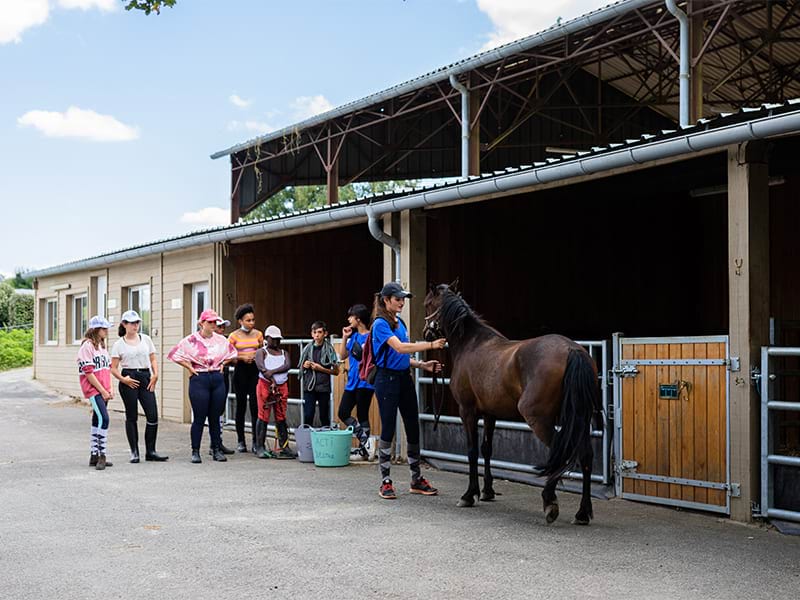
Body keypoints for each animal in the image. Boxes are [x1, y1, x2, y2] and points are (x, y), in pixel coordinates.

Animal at [424, 284, 600, 524]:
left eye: (427, 304)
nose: (426, 334)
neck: (471, 343)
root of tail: (572, 350)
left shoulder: (467, 411)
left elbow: (471, 451)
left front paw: (469, 495)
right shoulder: (490, 413)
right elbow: (486, 449)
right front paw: (487, 492)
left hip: (539, 419)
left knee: (558, 453)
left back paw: (550, 502)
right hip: (579, 419)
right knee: (585, 455)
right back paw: (582, 513)